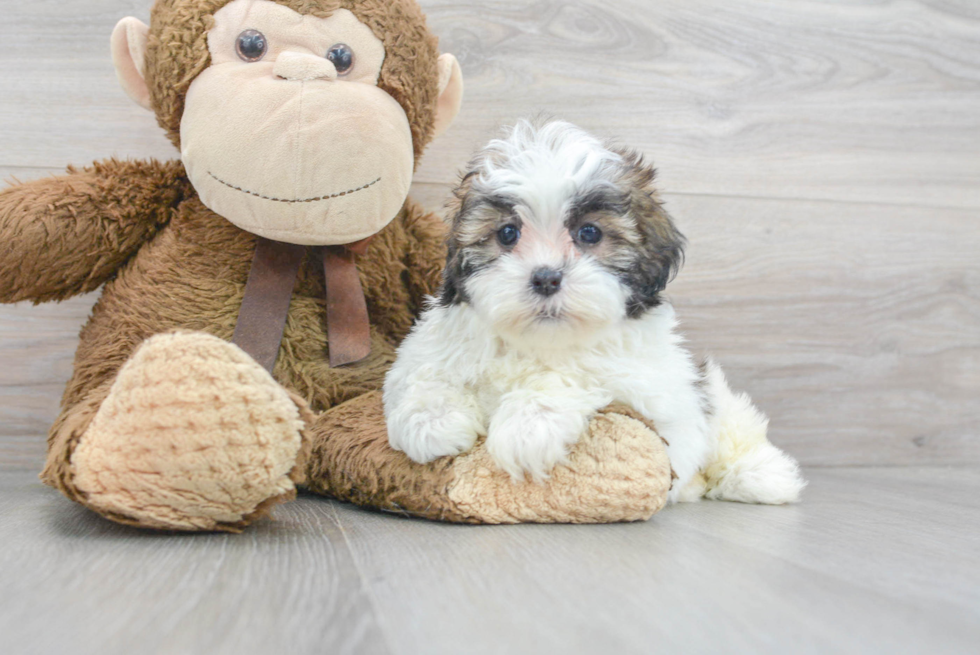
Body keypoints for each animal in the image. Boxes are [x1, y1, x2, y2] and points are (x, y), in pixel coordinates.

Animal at [382, 120, 804, 504]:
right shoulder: (430, 348)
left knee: (734, 429)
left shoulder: (646, 384)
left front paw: (528, 425)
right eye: (507, 234)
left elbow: (577, 375)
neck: (540, 343)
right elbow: (425, 375)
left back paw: (761, 475)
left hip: (710, 396)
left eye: (590, 233)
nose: (546, 277)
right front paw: (430, 420)